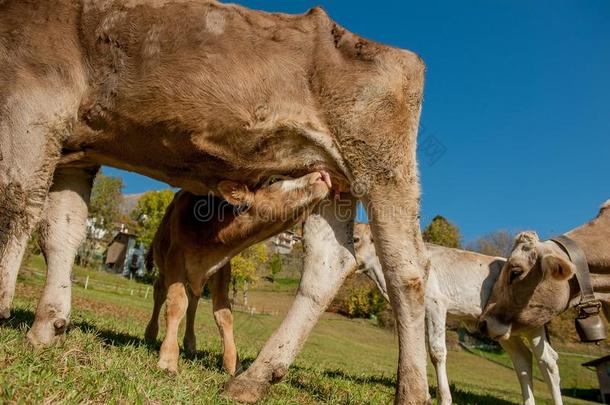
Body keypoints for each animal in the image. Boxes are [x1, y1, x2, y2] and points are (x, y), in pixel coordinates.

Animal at [142, 171, 328, 372]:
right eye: (274, 180)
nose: (321, 174)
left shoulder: (222, 269)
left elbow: (224, 314)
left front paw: (233, 364)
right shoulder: (175, 258)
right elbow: (176, 304)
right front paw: (168, 358)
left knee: (193, 303)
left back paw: (190, 344)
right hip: (162, 265)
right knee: (160, 292)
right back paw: (150, 333)